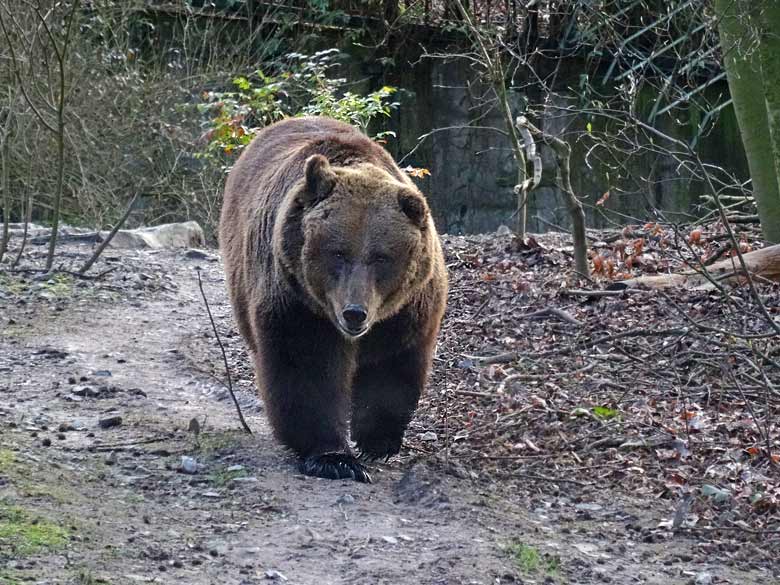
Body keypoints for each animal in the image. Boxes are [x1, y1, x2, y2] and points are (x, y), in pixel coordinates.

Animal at [221, 116, 450, 482]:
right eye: (338, 253)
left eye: (381, 257)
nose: (354, 313)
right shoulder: (298, 302)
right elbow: (307, 367)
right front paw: (334, 458)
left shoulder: (405, 310)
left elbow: (390, 365)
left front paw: (375, 441)